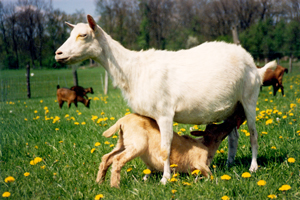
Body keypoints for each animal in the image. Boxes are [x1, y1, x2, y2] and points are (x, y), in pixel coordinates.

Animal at [55, 14, 276, 184]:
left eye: (83, 35)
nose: (58, 54)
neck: (132, 70)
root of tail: (255, 66)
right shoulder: (150, 115)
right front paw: (151, 175)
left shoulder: (164, 112)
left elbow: (165, 147)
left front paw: (165, 178)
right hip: (232, 107)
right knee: (233, 136)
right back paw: (230, 164)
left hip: (249, 99)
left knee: (253, 134)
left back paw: (253, 167)